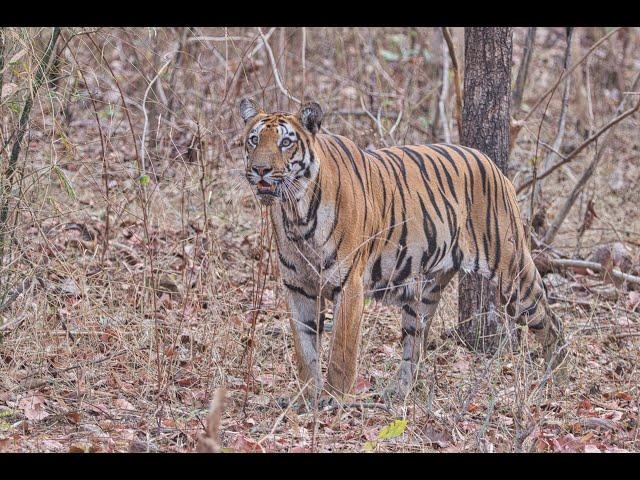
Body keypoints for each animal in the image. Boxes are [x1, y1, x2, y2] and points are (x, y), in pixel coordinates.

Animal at [239, 98, 564, 404]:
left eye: (285, 142)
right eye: (254, 139)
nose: (260, 170)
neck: (295, 212)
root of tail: (494, 165)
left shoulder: (349, 285)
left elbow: (342, 351)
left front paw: (334, 399)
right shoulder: (298, 288)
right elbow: (305, 349)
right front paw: (307, 397)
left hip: (513, 275)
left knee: (552, 321)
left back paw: (551, 378)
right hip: (423, 294)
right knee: (414, 346)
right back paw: (399, 391)